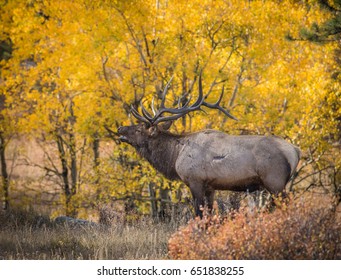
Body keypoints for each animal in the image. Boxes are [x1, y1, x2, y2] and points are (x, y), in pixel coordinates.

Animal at [117, 75, 300, 218]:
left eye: (140, 129)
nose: (120, 128)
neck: (175, 156)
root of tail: (295, 151)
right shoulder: (210, 187)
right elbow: (210, 214)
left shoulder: (195, 180)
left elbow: (198, 214)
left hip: (274, 181)